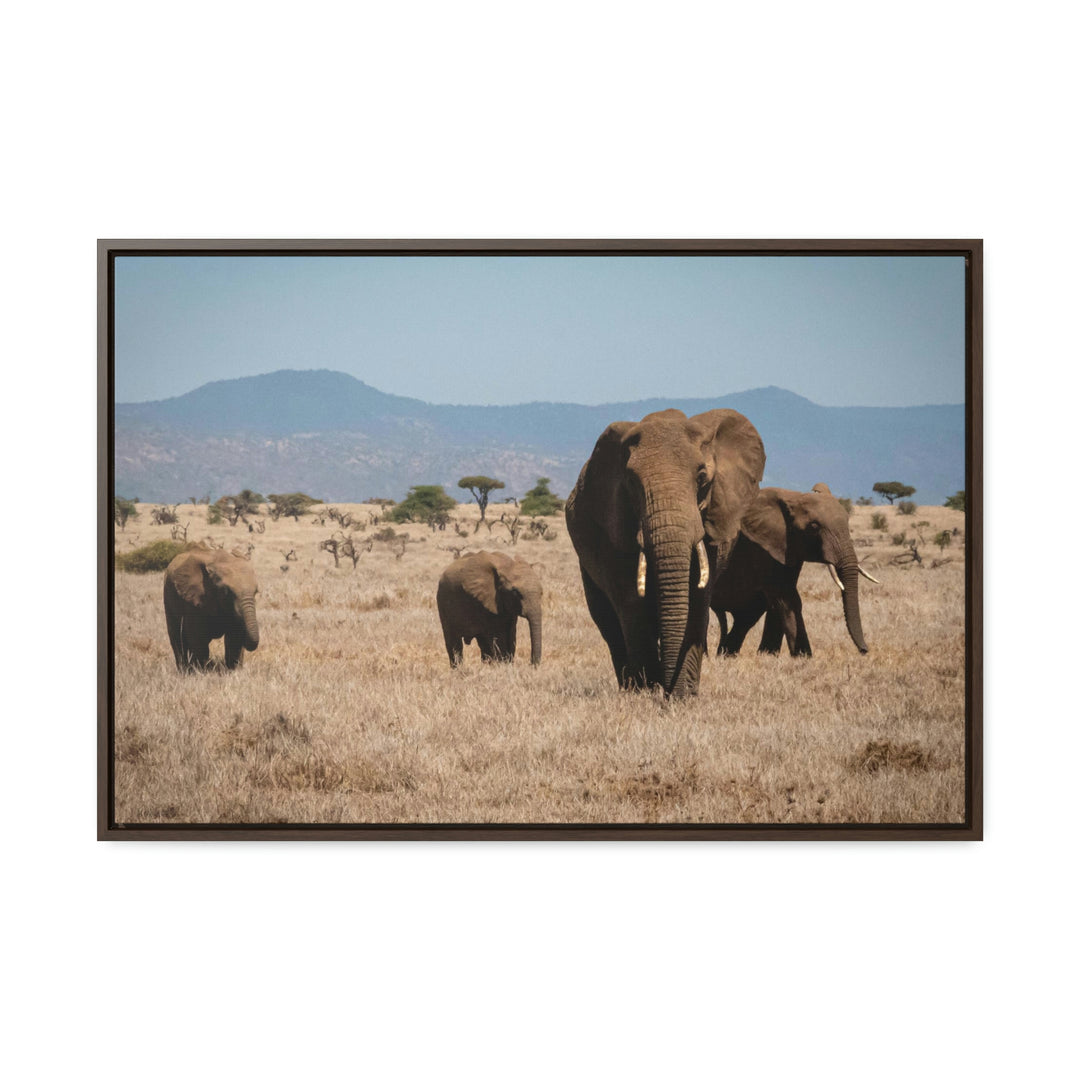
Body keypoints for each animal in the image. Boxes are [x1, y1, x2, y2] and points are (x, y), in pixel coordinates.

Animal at [565, 406, 768, 699]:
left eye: (702, 477)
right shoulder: (614, 532)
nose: (668, 692)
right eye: (631, 482)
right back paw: (630, 687)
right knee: (608, 622)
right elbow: (631, 604)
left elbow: (696, 600)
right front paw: (648, 693)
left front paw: (683, 696)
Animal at [712, 483, 881, 656]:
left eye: (847, 522)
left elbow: (782, 599)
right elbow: (786, 597)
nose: (864, 650)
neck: (793, 497)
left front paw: (769, 656)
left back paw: (725, 654)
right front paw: (803, 657)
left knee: (747, 617)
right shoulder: (762, 548)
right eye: (814, 526)